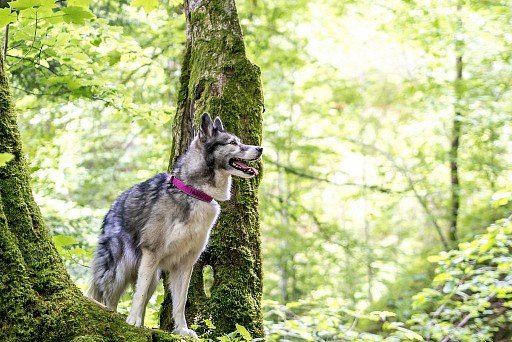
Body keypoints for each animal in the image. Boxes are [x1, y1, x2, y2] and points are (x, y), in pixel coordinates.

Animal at [87, 113, 262, 336]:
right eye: (233, 143)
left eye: (239, 141)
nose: (260, 148)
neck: (194, 192)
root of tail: (112, 208)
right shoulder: (152, 253)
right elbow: (139, 294)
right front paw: (132, 321)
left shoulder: (185, 263)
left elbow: (180, 302)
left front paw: (182, 330)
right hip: (120, 268)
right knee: (106, 297)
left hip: (152, 276)